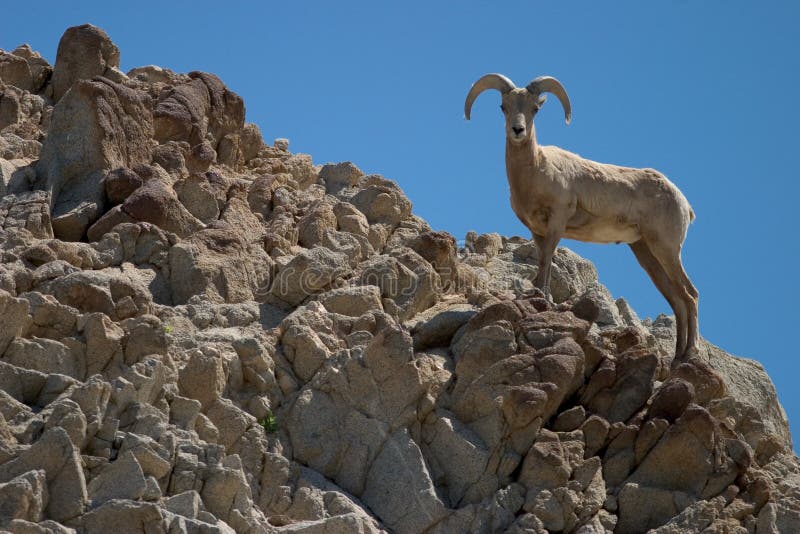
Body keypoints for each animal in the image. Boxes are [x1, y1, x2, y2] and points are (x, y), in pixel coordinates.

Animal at [466, 74, 696, 360]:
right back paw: (677, 358)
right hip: (646, 253)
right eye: (503, 107)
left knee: (690, 296)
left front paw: (541, 297)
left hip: (666, 248)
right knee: (677, 300)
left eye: (535, 109)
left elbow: (546, 262)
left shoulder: (556, 223)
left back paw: (690, 353)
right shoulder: (537, 231)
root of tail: (685, 204)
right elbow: (543, 262)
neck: (535, 172)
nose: (518, 130)